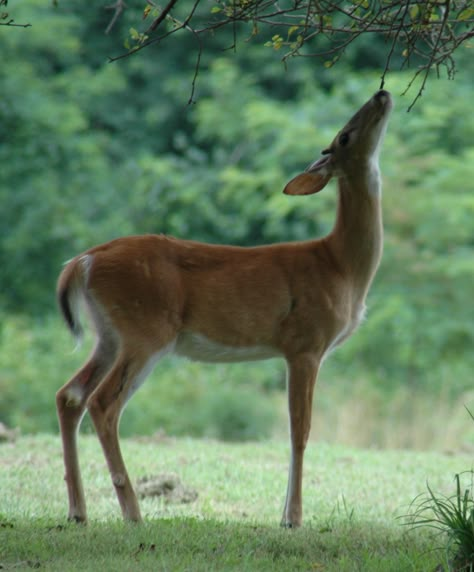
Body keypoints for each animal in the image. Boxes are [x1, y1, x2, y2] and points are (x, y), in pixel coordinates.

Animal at [55, 89, 392, 528]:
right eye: (345, 135)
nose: (381, 94)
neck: (341, 265)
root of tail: (83, 261)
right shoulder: (305, 343)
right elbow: (299, 430)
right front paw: (292, 518)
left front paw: (285, 514)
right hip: (146, 330)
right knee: (102, 403)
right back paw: (132, 512)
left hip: (110, 334)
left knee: (70, 395)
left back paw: (78, 511)